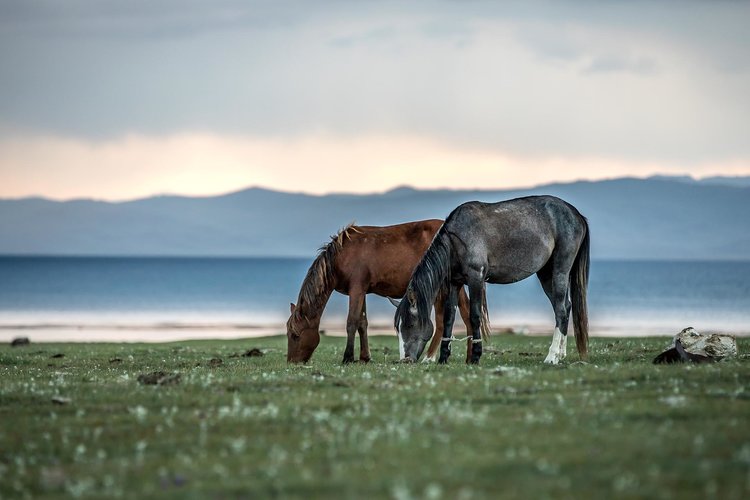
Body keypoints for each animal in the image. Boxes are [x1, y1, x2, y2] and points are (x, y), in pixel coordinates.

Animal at [286, 220, 476, 364]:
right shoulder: (361, 291)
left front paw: (348, 357)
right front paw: (364, 357)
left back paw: (441, 357)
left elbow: (352, 322)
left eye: (295, 335)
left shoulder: (356, 289)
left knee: (455, 317)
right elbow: (362, 323)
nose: (292, 362)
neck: (340, 256)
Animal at [394, 195, 590, 365]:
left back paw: (552, 357)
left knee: (561, 311)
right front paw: (443, 358)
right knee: (564, 307)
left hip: (559, 271)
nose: (405, 359)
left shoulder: (476, 279)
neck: (457, 239)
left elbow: (475, 316)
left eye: (410, 324)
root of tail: (575, 214)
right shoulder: (454, 283)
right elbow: (449, 317)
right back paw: (561, 354)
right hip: (546, 275)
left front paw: (475, 357)